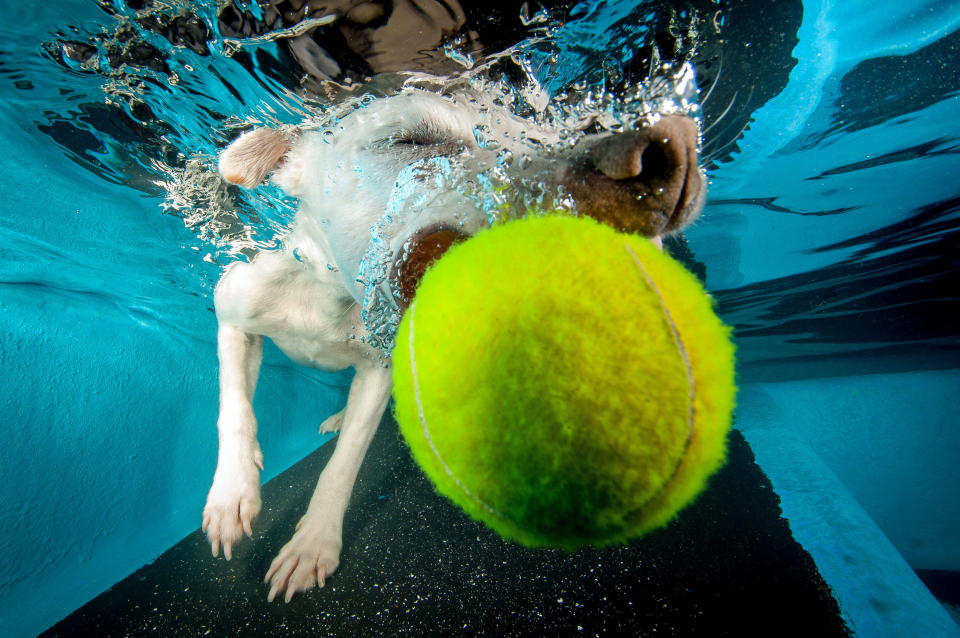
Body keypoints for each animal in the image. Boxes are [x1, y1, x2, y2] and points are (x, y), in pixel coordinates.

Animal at [201, 85, 704, 604]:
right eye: (410, 140)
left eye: (531, 128)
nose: (675, 146)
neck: (333, 296)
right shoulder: (232, 313)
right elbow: (234, 408)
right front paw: (231, 494)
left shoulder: (379, 369)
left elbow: (343, 464)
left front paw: (313, 541)